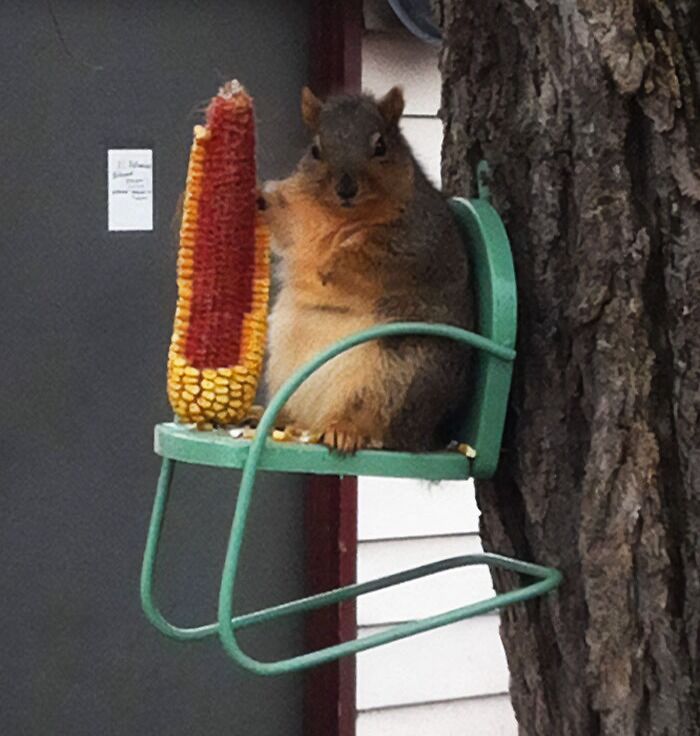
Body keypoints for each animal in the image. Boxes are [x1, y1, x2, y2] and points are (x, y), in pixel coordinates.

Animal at [260, 86, 474, 454]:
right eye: (315, 149)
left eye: (380, 146)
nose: (346, 188)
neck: (341, 216)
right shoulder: (298, 222)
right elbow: (283, 226)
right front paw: (255, 197)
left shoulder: (416, 238)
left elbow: (370, 255)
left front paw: (331, 265)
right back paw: (280, 418)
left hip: (406, 373)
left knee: (378, 422)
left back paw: (345, 430)